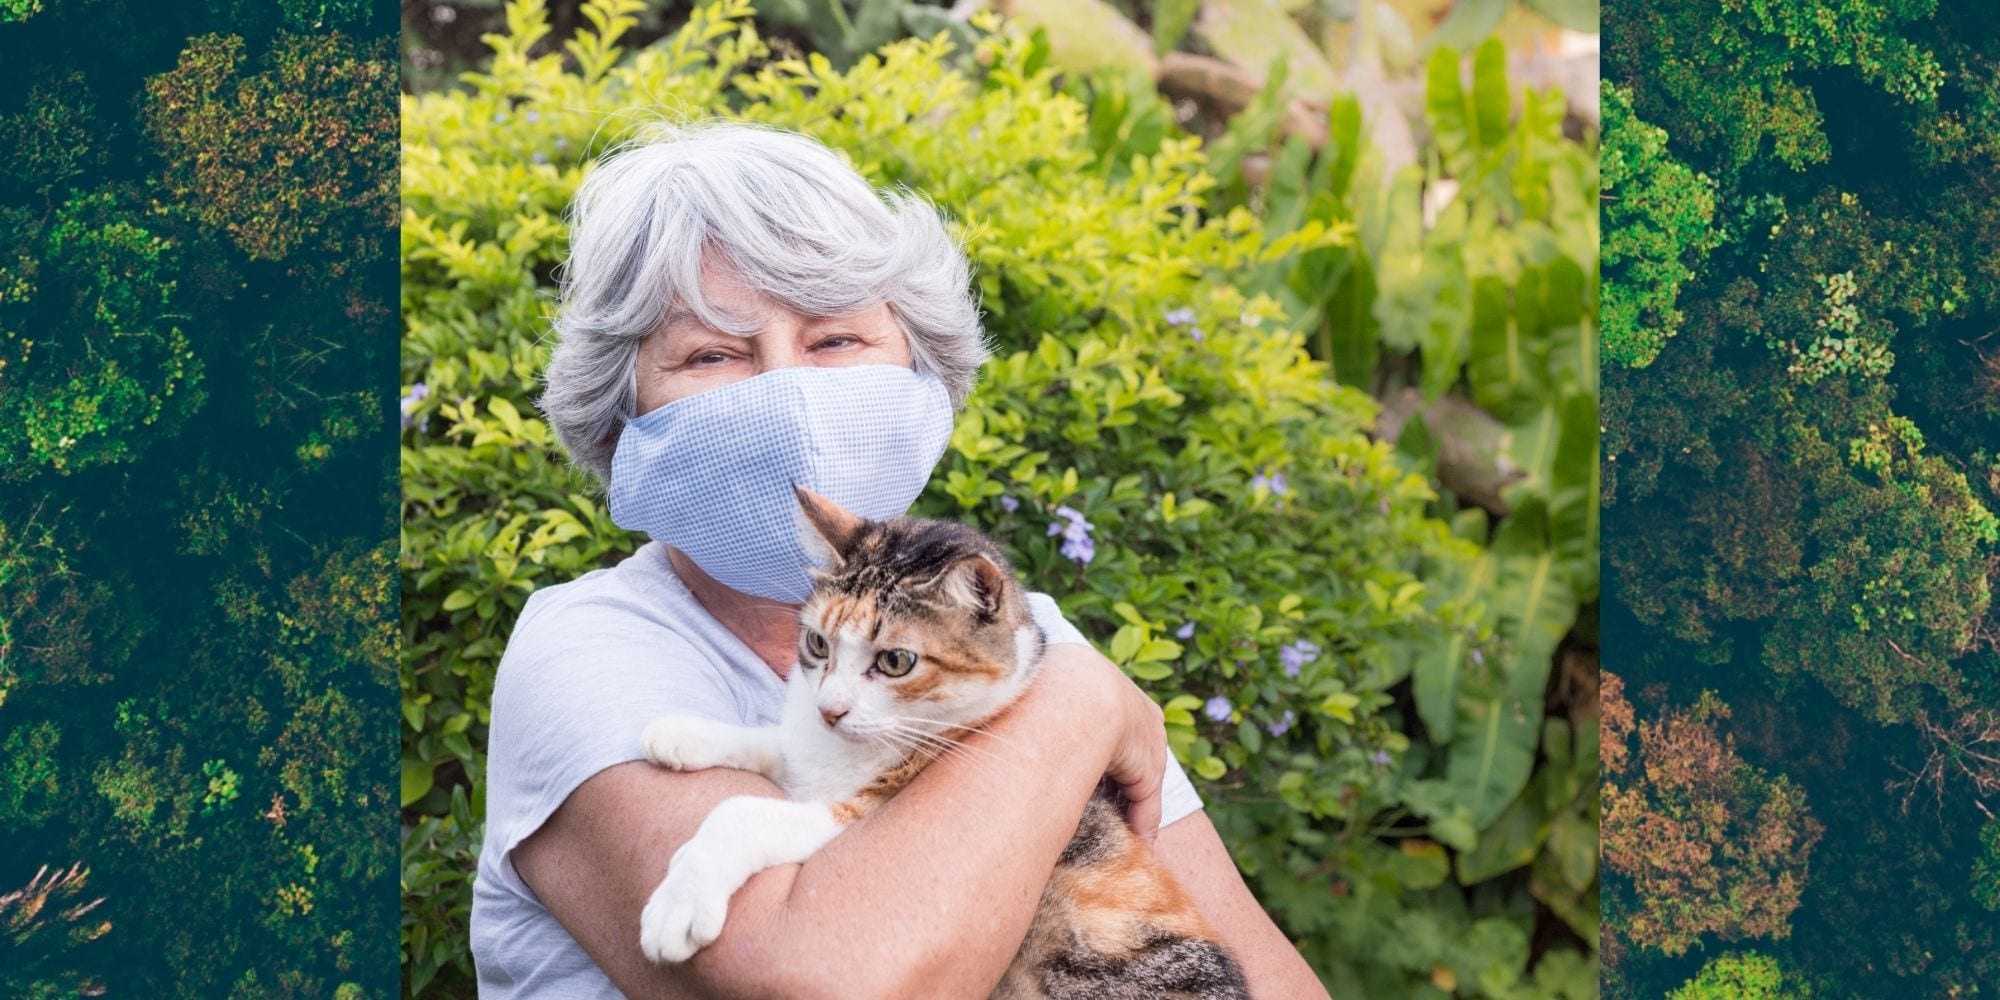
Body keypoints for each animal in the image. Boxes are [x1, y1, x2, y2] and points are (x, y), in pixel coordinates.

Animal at [636, 486, 1248, 1000]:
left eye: (895, 661)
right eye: (817, 643)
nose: (830, 710)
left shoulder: (865, 812)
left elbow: (742, 811)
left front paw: (680, 902)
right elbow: (777, 743)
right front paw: (681, 733)